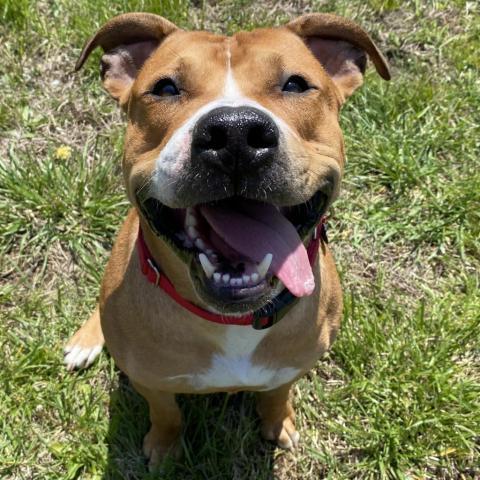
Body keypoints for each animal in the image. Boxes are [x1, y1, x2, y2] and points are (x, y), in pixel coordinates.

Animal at [64, 12, 390, 468]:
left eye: (295, 84)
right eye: (165, 88)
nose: (235, 134)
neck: (233, 321)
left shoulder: (292, 367)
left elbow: (276, 394)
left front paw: (278, 423)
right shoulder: (151, 381)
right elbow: (166, 412)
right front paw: (163, 449)